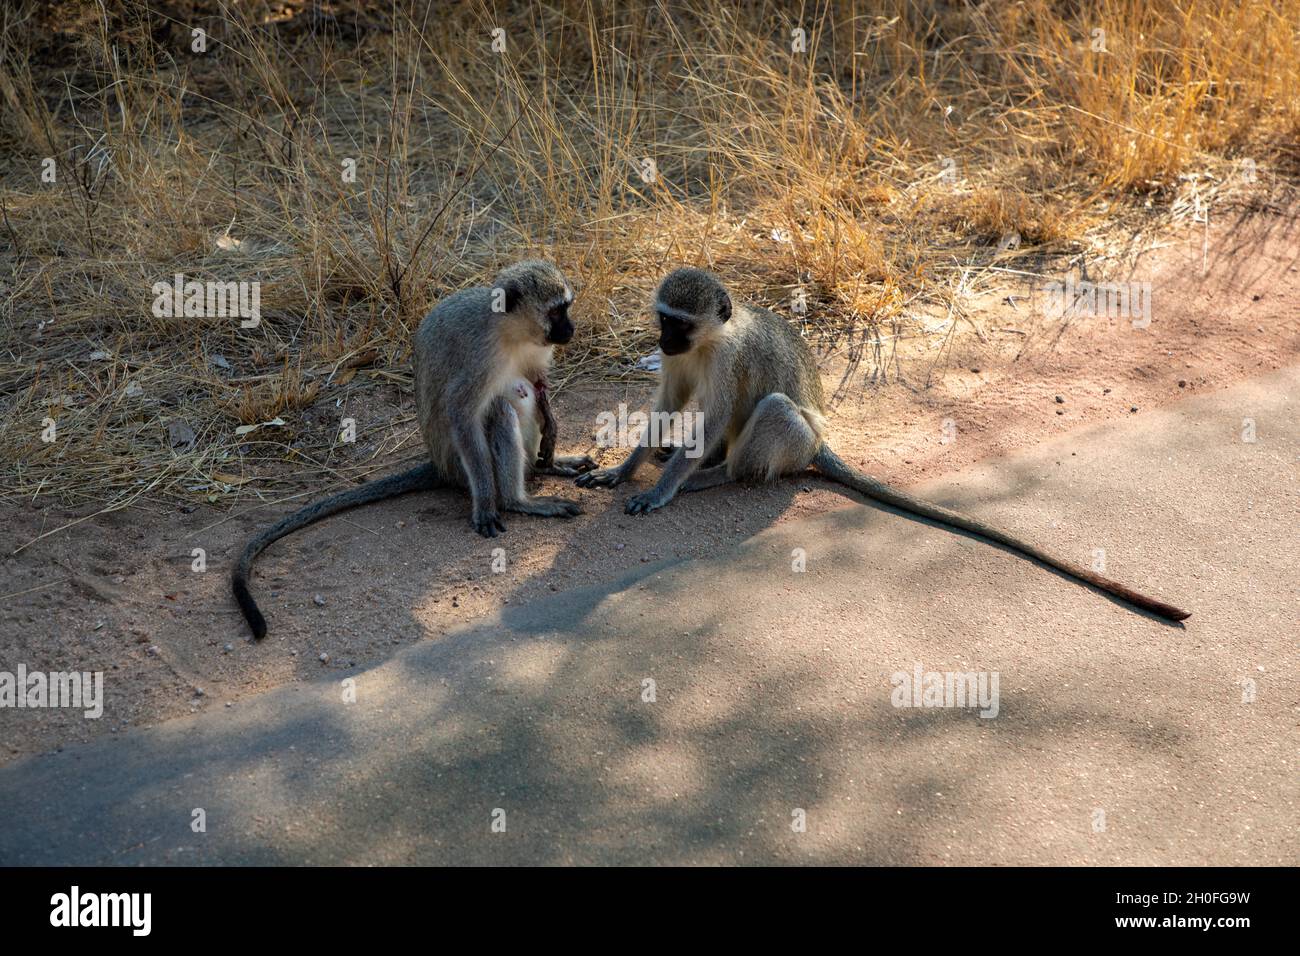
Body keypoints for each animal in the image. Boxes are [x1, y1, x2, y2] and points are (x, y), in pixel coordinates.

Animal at [232, 260, 596, 640]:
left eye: (566, 308)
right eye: (556, 311)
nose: (571, 329)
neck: (511, 333)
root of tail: (439, 466)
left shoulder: (536, 353)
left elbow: (539, 386)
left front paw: (553, 435)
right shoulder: (478, 357)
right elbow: (461, 414)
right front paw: (485, 505)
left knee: (523, 401)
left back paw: (548, 466)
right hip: (458, 465)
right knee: (500, 409)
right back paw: (519, 501)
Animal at [577, 267, 1190, 622]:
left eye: (679, 323)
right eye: (663, 318)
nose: (660, 340)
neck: (709, 340)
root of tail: (818, 445)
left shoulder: (728, 359)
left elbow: (712, 415)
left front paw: (661, 490)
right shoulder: (680, 365)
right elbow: (668, 402)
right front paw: (624, 469)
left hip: (796, 438)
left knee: (770, 416)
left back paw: (712, 475)